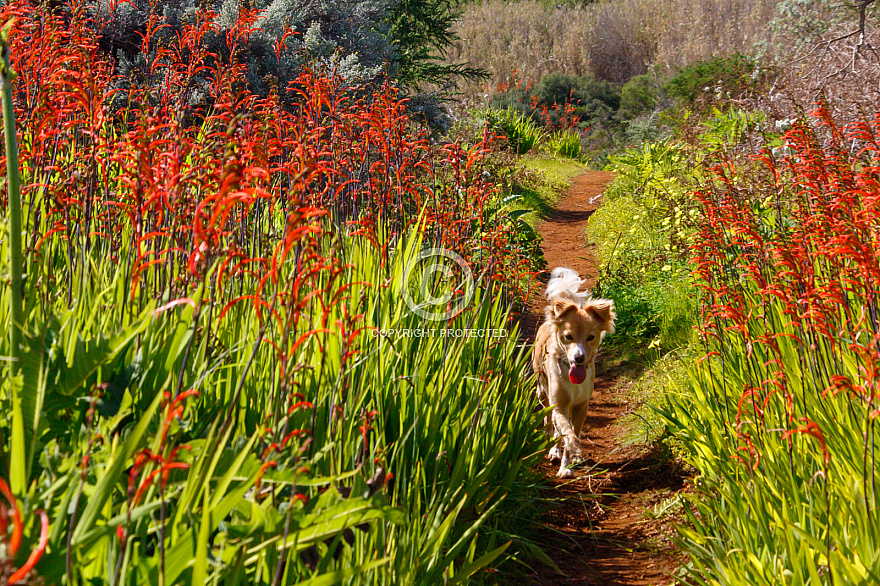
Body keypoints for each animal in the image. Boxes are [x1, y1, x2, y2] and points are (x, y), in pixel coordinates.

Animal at [532, 266, 616, 476]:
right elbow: (567, 433)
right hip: (543, 394)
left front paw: (572, 459)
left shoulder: (581, 406)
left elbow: (574, 432)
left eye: (591, 337)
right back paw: (554, 451)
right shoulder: (559, 405)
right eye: (568, 336)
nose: (579, 358)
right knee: (550, 425)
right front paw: (567, 463)